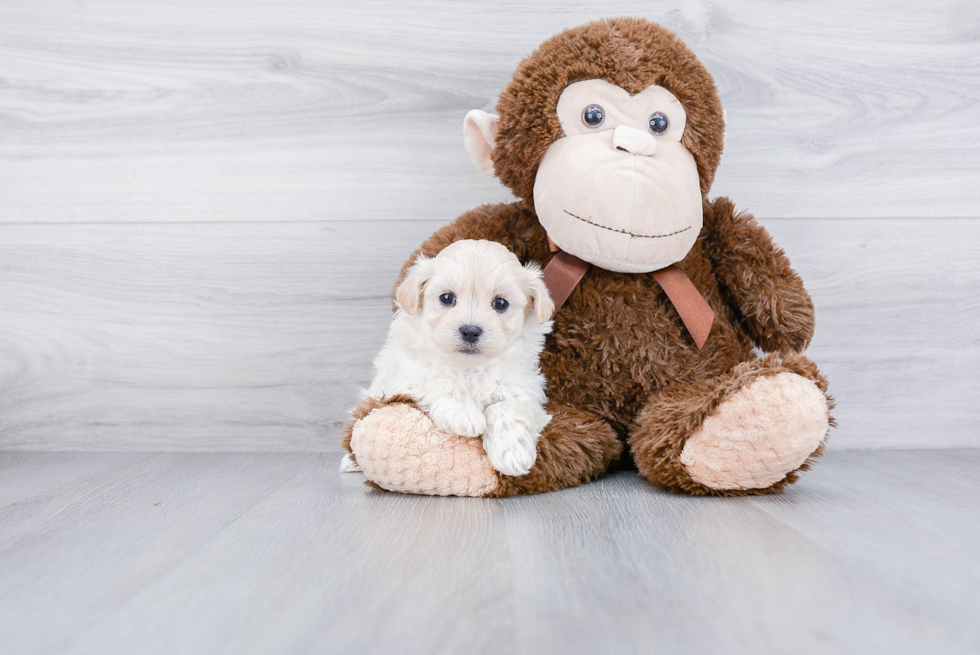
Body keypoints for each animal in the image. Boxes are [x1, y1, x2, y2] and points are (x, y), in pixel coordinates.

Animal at [342, 240, 556, 476]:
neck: (469, 367)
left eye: (501, 303)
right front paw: (464, 414)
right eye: (446, 298)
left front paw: (512, 452)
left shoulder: (523, 386)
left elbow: (507, 407)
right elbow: (438, 380)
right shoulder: (404, 376)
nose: (470, 331)